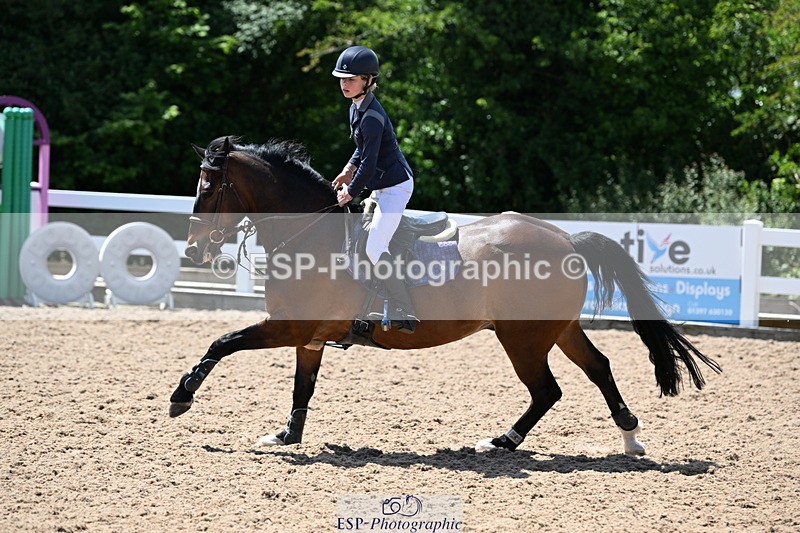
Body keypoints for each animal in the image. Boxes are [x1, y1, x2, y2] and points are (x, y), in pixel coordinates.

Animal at [169, 136, 721, 455]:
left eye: (208, 188)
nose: (194, 248)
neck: (310, 236)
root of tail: (566, 238)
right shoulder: (310, 336)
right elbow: (301, 388)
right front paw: (286, 435)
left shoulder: (289, 327)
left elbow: (222, 342)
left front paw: (182, 397)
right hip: (557, 329)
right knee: (598, 369)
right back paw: (629, 437)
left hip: (523, 339)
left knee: (548, 389)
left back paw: (501, 441)